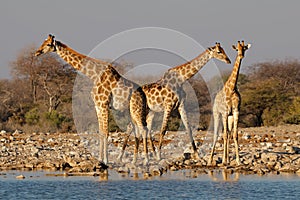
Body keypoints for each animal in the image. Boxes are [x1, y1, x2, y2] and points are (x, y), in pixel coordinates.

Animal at [35, 34, 150, 166]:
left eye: (48, 44)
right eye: (43, 42)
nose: (37, 52)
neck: (94, 75)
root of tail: (143, 95)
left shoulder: (103, 104)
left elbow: (105, 132)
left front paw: (106, 160)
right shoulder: (97, 105)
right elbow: (100, 132)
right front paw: (100, 159)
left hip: (136, 110)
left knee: (143, 129)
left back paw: (146, 160)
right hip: (131, 110)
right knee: (136, 129)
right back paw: (134, 160)